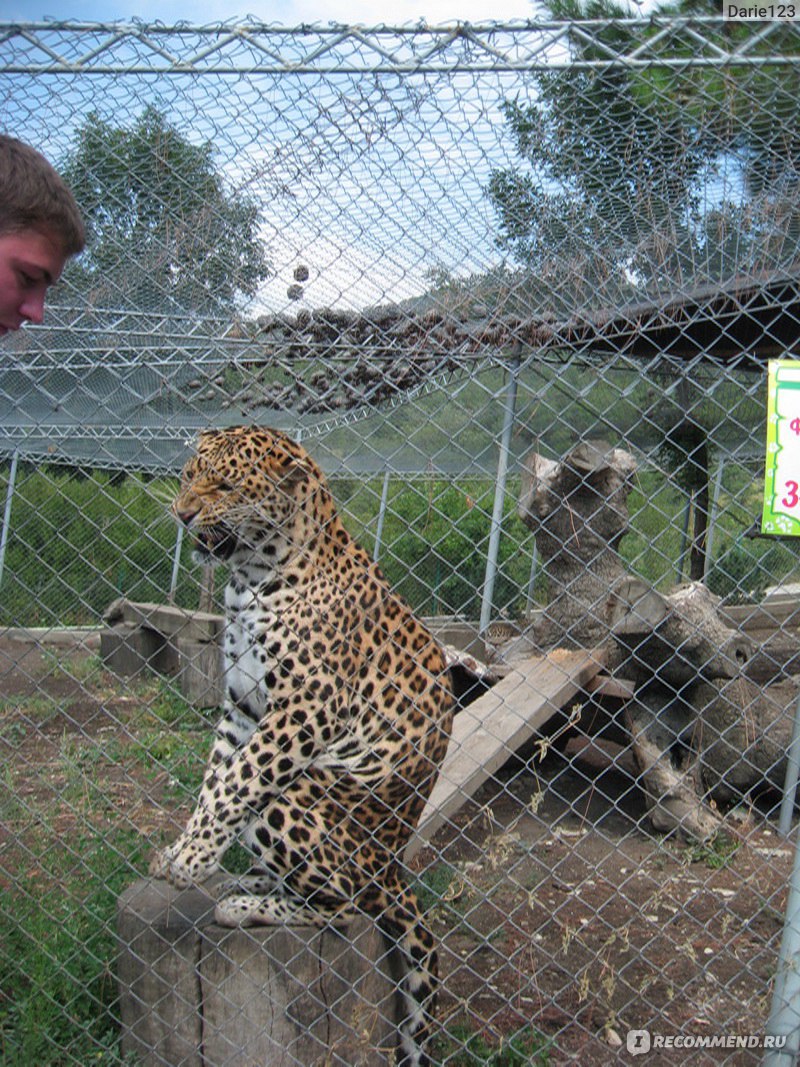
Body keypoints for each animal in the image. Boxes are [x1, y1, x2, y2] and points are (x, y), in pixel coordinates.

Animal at [147, 426, 454, 1067]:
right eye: (188, 475)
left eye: (225, 486)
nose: (182, 512)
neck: (247, 579)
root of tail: (392, 865)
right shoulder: (240, 709)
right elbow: (217, 781)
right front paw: (188, 852)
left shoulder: (303, 710)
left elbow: (236, 785)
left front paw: (189, 862)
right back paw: (251, 882)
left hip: (299, 804)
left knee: (344, 904)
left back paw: (246, 906)